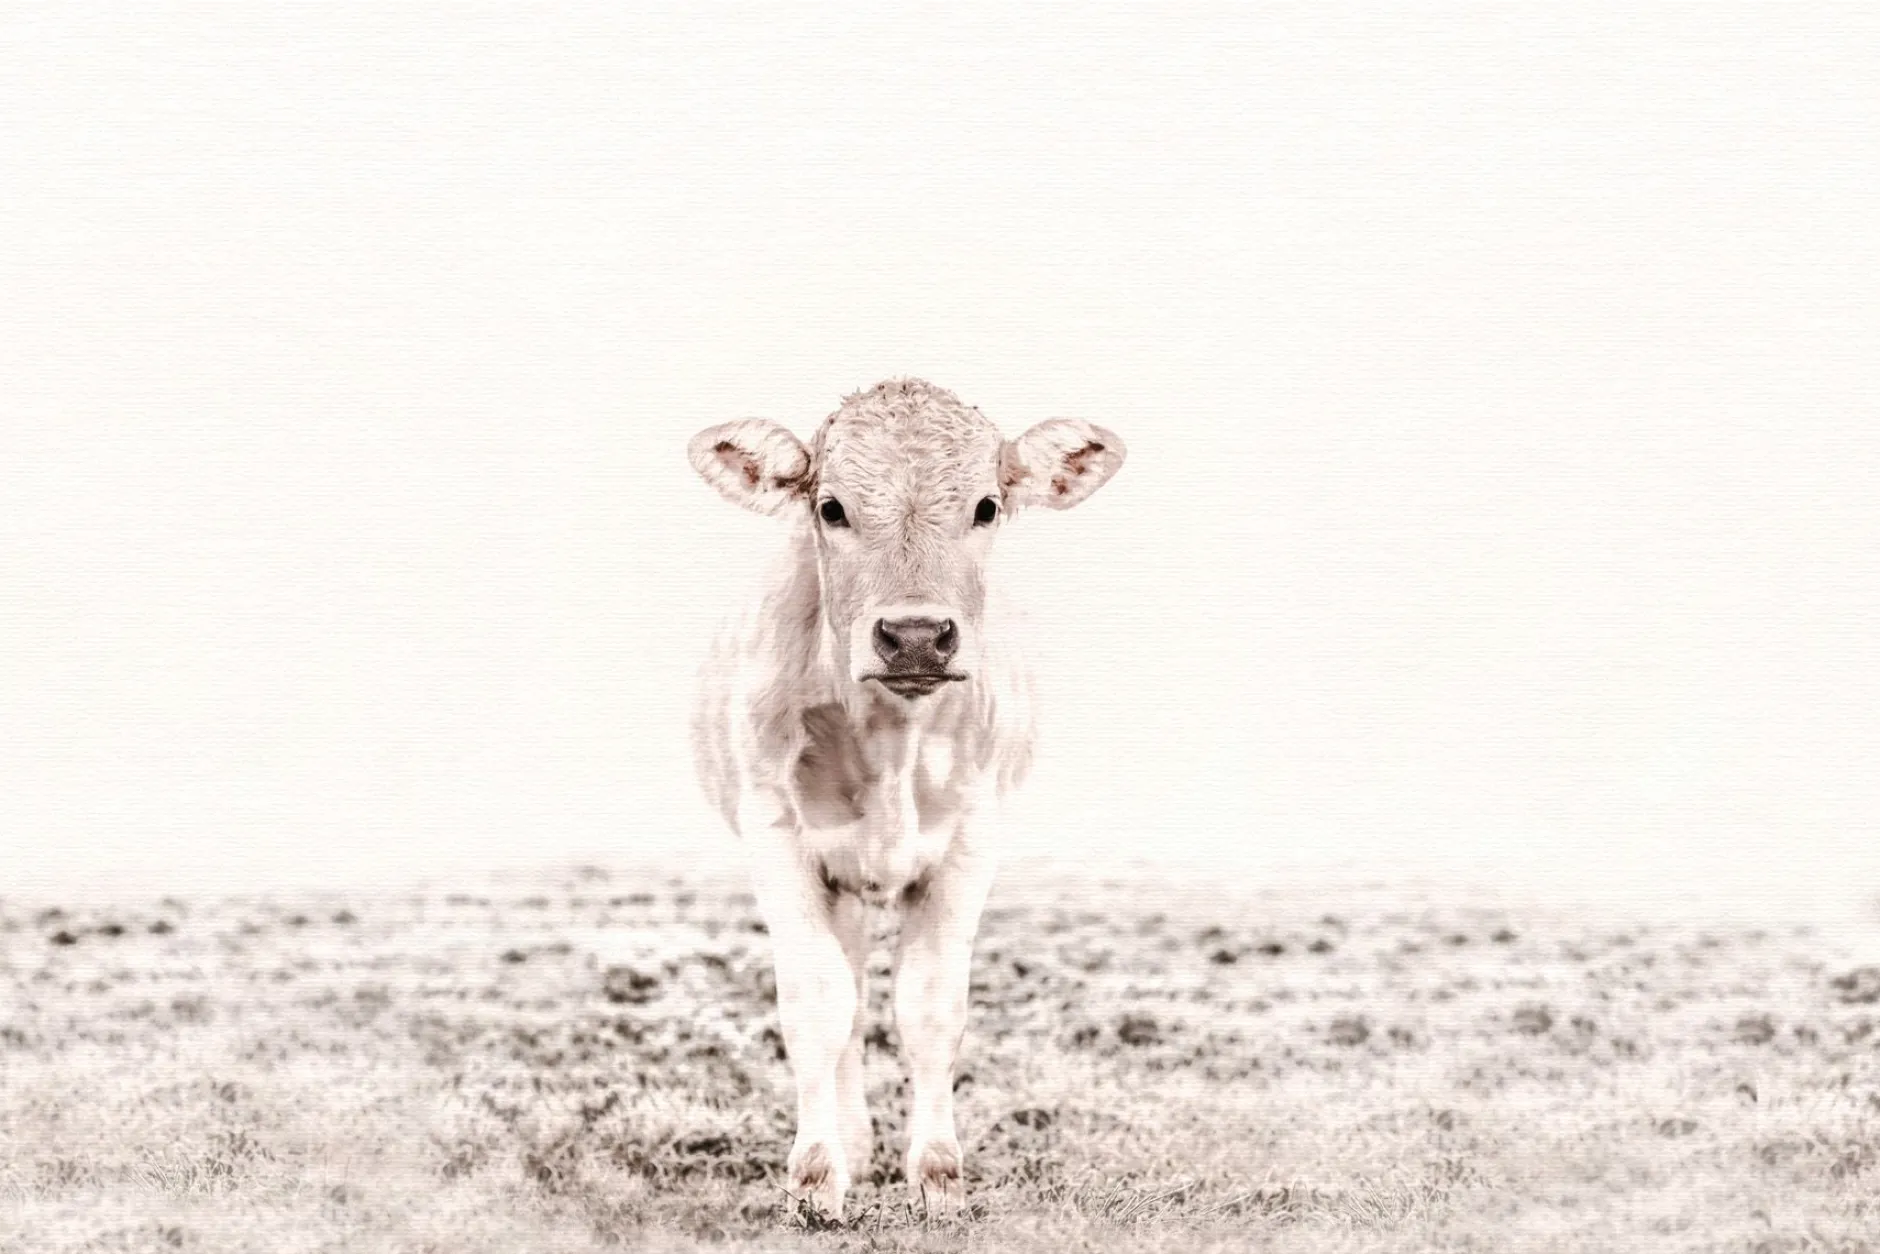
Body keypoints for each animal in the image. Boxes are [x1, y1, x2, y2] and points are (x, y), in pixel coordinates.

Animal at [686, 378, 1126, 1220]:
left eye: (987, 506)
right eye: (831, 507)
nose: (917, 636)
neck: (891, 741)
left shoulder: (971, 842)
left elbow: (929, 1007)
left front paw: (937, 1174)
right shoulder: (777, 837)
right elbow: (819, 1004)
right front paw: (817, 1175)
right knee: (850, 995)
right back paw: (853, 1143)